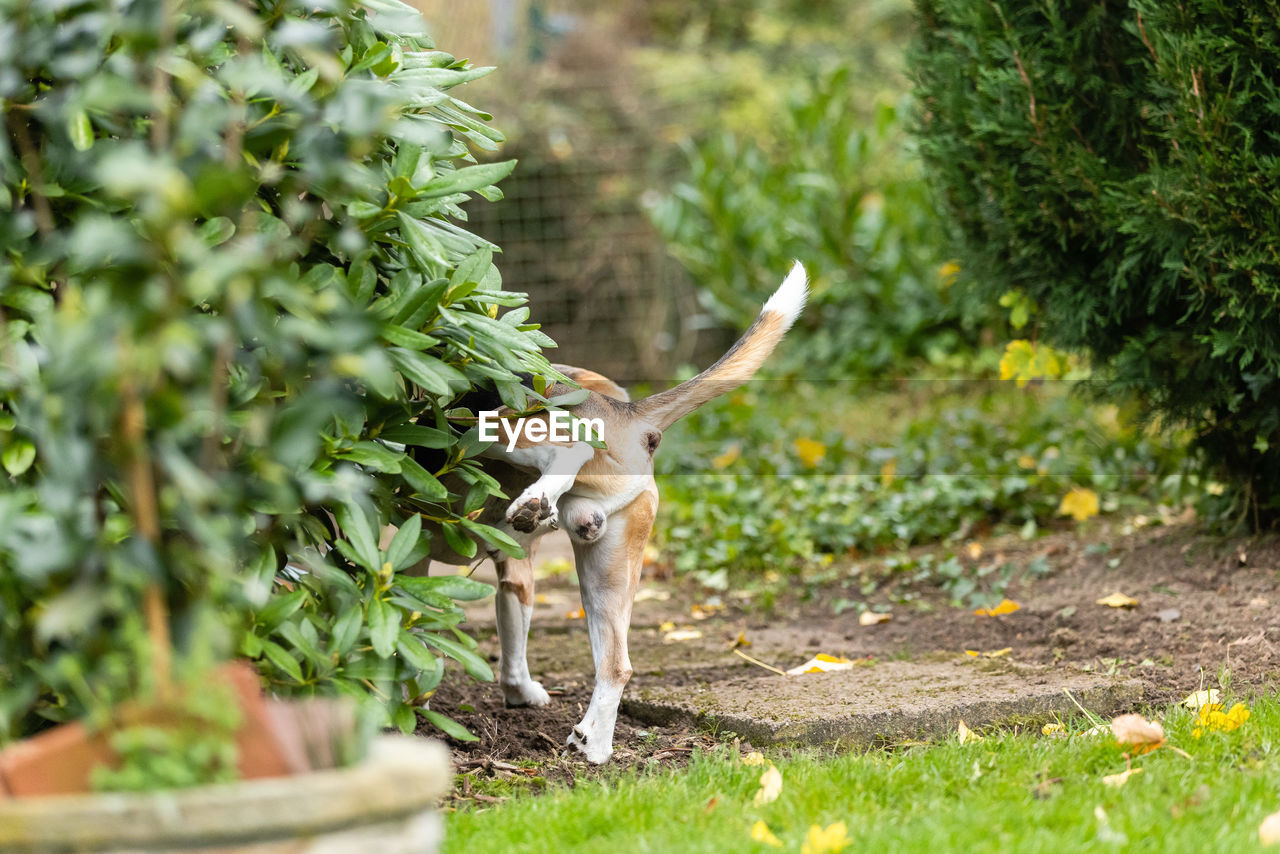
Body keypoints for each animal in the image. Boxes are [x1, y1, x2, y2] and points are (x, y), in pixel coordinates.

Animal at [414, 258, 803, 763]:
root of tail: (627, 412)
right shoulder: (517, 571)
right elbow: (513, 641)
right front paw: (520, 693)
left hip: (483, 426)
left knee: (567, 449)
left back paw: (537, 498)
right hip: (608, 569)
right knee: (618, 665)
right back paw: (595, 744)